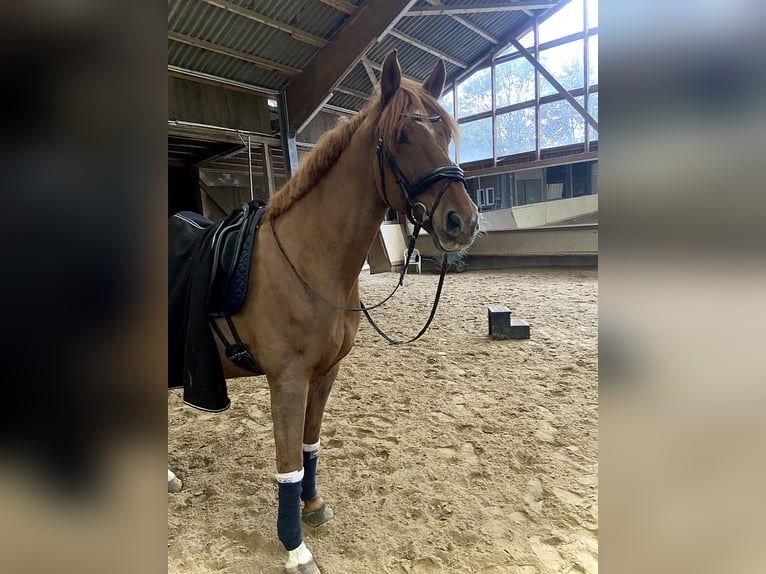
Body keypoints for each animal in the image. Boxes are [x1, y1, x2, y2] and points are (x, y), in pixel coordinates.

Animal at [171, 50, 479, 573]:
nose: (463, 221)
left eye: (443, 135)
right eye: (403, 136)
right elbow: (288, 464)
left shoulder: (325, 374)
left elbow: (310, 446)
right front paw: (294, 548)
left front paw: (312, 506)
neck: (308, 259)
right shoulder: (288, 381)